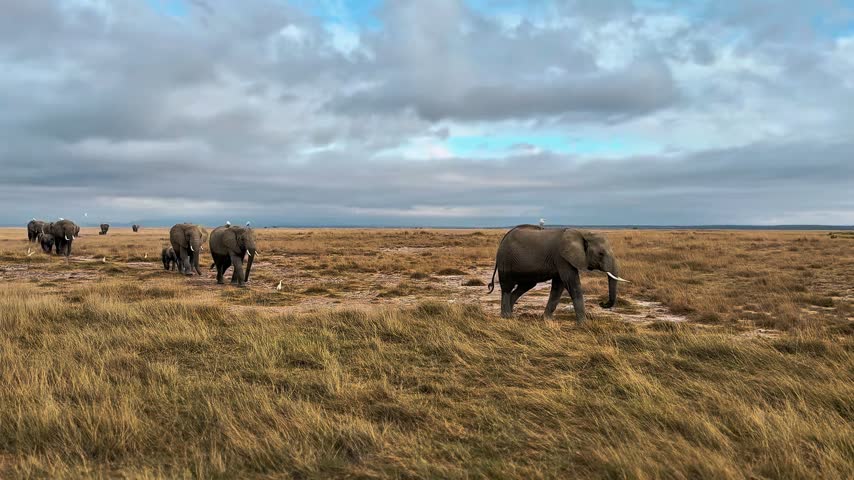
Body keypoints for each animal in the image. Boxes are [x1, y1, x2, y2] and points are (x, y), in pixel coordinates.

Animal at [487, 225, 629, 323]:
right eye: (600, 253)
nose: (602, 304)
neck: (581, 232)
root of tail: (503, 238)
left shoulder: (561, 260)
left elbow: (558, 287)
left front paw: (546, 320)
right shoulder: (562, 258)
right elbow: (572, 284)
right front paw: (584, 324)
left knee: (524, 286)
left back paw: (509, 314)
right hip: (505, 260)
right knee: (507, 286)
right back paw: (506, 317)